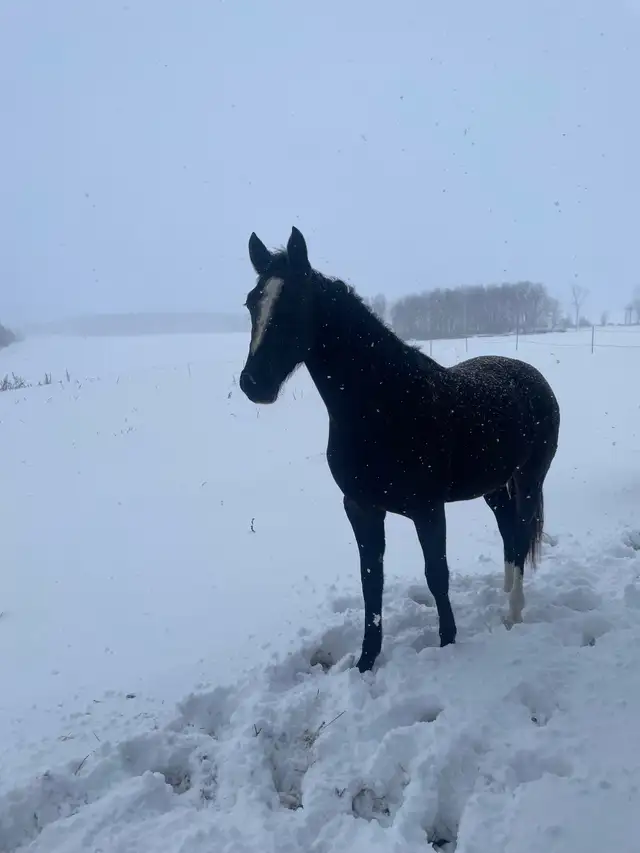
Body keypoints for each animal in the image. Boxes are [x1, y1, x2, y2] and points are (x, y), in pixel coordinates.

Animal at [239, 227, 560, 673]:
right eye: (252, 303)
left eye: (297, 303)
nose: (253, 383)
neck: (385, 405)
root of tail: (531, 375)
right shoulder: (360, 508)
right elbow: (370, 582)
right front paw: (365, 661)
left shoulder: (428, 509)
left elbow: (436, 574)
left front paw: (448, 642)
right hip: (495, 488)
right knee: (509, 533)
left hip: (529, 478)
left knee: (521, 534)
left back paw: (514, 613)